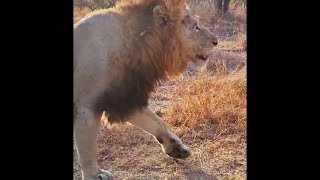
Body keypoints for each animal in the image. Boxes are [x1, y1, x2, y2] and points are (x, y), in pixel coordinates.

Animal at [73, 0, 218, 179]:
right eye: (195, 26)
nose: (216, 41)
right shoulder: (86, 107)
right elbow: (87, 150)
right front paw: (94, 174)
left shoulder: (125, 97)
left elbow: (158, 122)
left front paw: (176, 148)